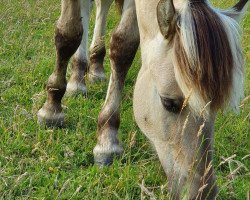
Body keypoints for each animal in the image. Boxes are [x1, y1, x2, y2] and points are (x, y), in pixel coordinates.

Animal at [36, 0, 248, 198]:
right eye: (169, 103)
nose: (203, 192)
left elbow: (123, 46)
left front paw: (107, 136)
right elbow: (68, 33)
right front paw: (52, 107)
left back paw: (96, 67)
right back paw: (77, 78)